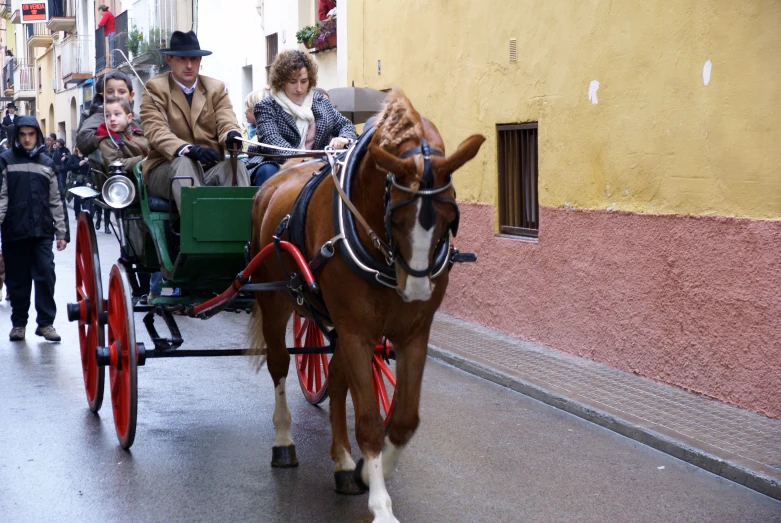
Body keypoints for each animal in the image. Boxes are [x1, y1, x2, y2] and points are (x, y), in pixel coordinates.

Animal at [248, 90, 482, 523]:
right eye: (397, 217)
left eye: (450, 217)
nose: (417, 289)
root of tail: (274, 179)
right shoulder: (356, 331)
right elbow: (371, 422)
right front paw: (381, 504)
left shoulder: (412, 333)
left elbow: (403, 420)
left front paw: (363, 470)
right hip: (273, 301)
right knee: (279, 366)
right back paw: (284, 440)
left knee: (337, 382)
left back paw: (342, 463)